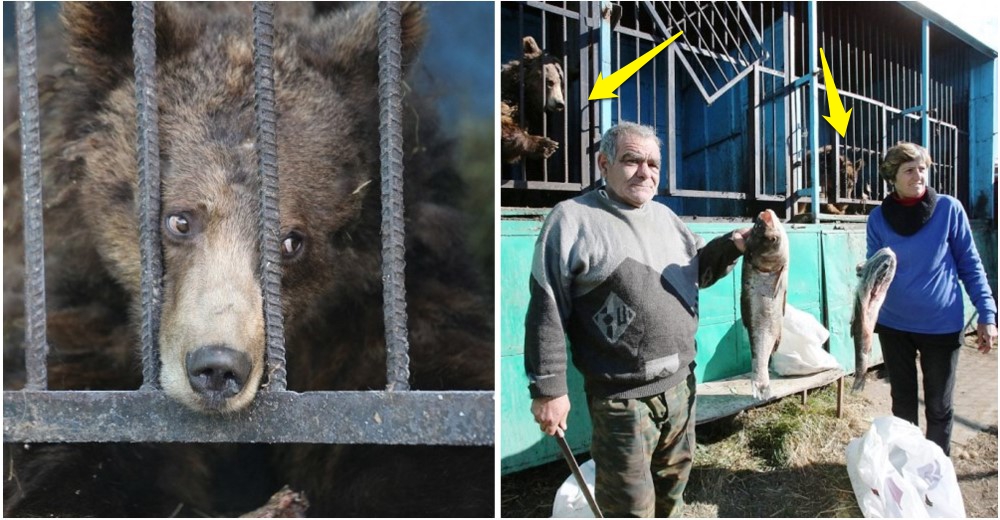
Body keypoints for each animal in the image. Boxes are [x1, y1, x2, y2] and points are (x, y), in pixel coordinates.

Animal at [3, 3, 494, 516]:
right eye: (180, 220)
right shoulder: (83, 314)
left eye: (292, 241)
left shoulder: (376, 311)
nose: (218, 368)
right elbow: (75, 445)